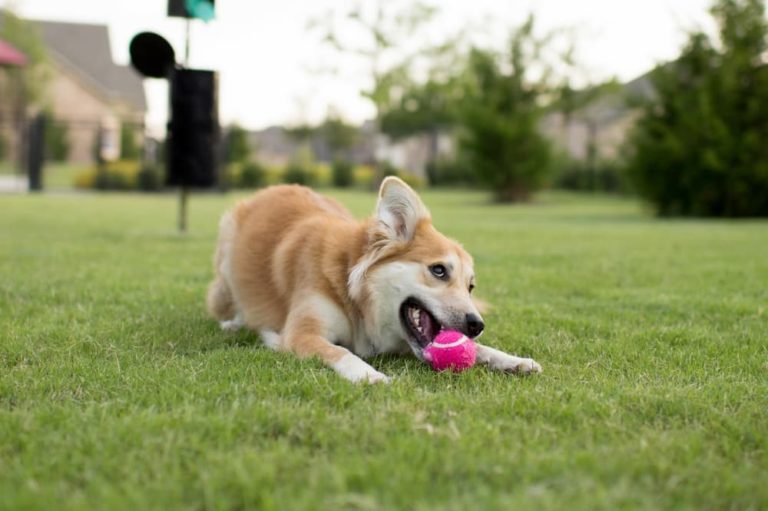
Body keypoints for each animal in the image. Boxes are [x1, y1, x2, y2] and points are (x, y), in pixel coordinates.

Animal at [206, 178, 540, 382]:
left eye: (470, 287)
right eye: (439, 270)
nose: (476, 325)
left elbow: (481, 350)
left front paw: (512, 360)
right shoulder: (302, 334)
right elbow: (340, 351)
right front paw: (370, 376)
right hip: (224, 274)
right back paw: (234, 322)